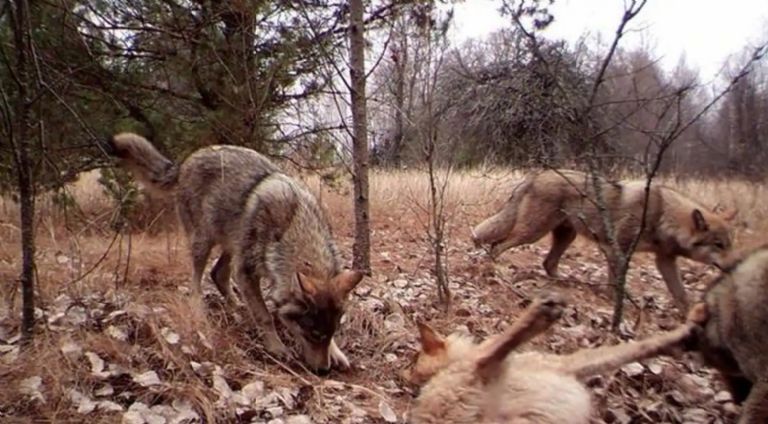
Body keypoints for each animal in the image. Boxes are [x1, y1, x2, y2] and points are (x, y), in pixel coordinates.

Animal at [103, 132, 363, 373]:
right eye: (313, 333)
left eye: (331, 333)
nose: (324, 370)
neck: (295, 227)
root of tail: (188, 159)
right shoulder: (246, 271)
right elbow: (265, 316)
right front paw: (276, 347)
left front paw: (337, 354)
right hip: (204, 242)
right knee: (196, 281)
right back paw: (200, 310)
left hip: (232, 244)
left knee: (218, 274)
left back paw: (237, 306)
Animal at [405, 293, 707, 424]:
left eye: (413, 361)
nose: (408, 377)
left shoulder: (569, 364)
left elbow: (634, 347)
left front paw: (684, 332)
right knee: (489, 357)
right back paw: (540, 313)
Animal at [471, 169, 736, 311]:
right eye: (719, 245)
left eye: (729, 245)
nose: (734, 266)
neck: (662, 213)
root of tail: (536, 175)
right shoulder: (616, 250)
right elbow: (616, 281)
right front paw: (616, 302)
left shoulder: (664, 260)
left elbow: (681, 295)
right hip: (533, 232)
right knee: (498, 245)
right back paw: (495, 270)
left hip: (565, 236)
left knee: (548, 263)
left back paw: (569, 283)